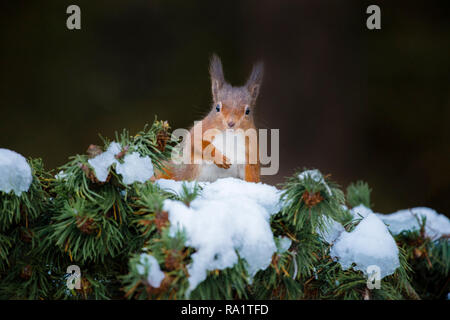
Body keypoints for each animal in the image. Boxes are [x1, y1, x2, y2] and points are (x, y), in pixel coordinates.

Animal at [156, 54, 264, 182]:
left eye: (248, 111)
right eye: (217, 108)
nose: (231, 123)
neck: (230, 135)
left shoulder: (251, 147)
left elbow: (252, 173)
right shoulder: (202, 128)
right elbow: (197, 141)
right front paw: (218, 157)